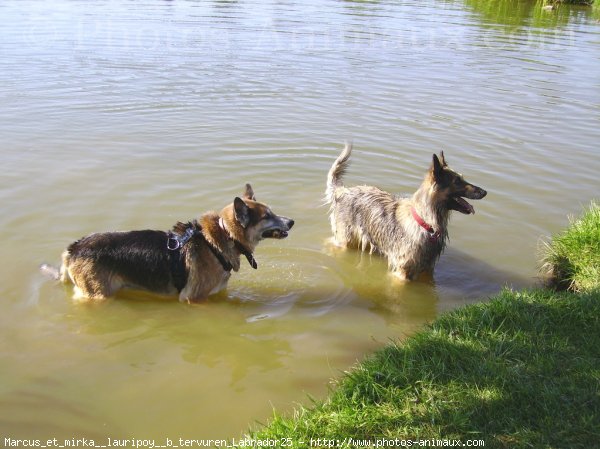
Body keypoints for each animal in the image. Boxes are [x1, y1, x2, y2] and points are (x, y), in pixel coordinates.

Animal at [41, 184, 294, 302]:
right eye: (267, 216)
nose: (292, 221)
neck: (224, 237)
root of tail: (74, 249)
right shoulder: (194, 299)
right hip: (98, 296)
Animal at [326, 144, 486, 278]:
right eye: (457, 181)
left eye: (462, 179)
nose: (484, 192)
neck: (426, 223)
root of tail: (343, 191)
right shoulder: (403, 274)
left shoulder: (427, 269)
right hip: (344, 241)